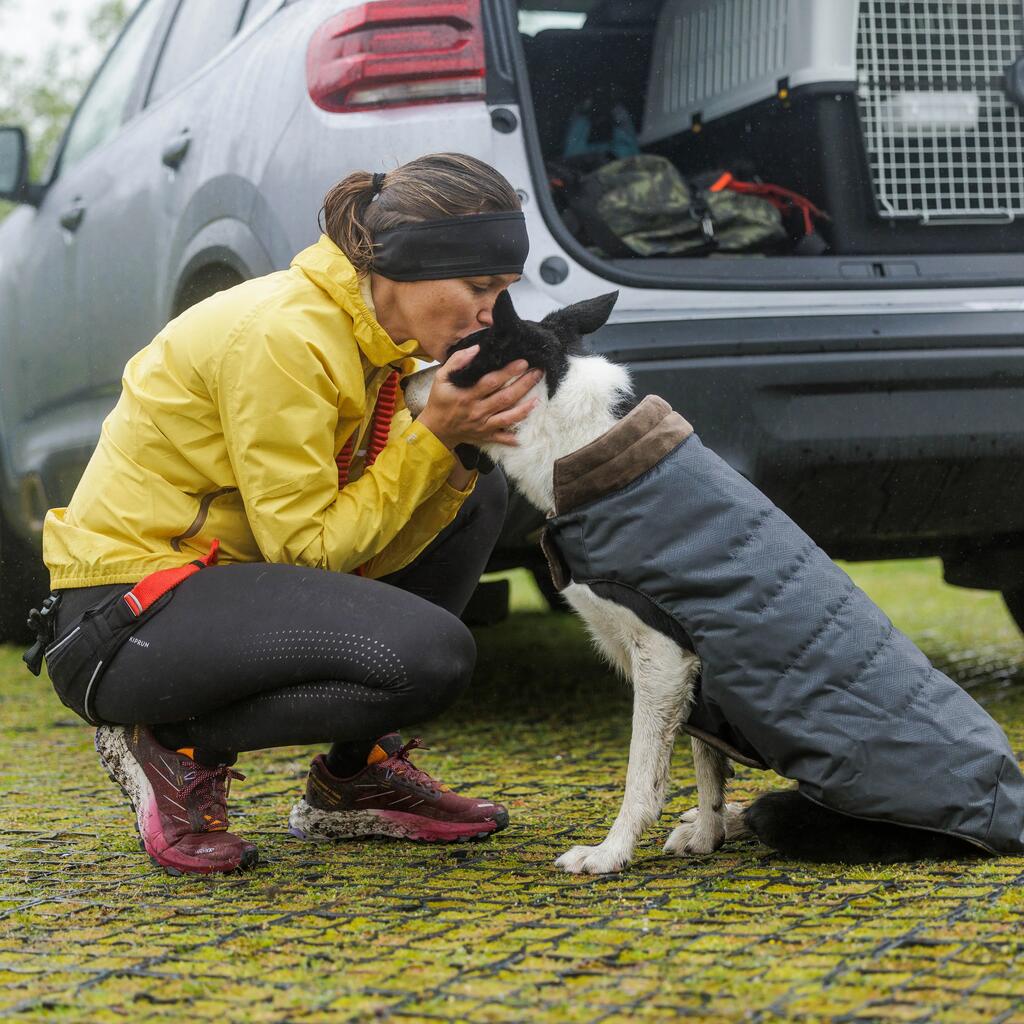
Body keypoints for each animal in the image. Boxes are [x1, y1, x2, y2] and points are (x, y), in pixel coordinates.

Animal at [403, 292, 1019, 876]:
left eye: (457, 352)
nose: (402, 380)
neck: (584, 443)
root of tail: (1008, 816)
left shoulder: (663, 653)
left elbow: (643, 777)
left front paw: (611, 853)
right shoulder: (699, 667)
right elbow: (707, 763)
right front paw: (706, 834)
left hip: (815, 811)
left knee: (770, 808)